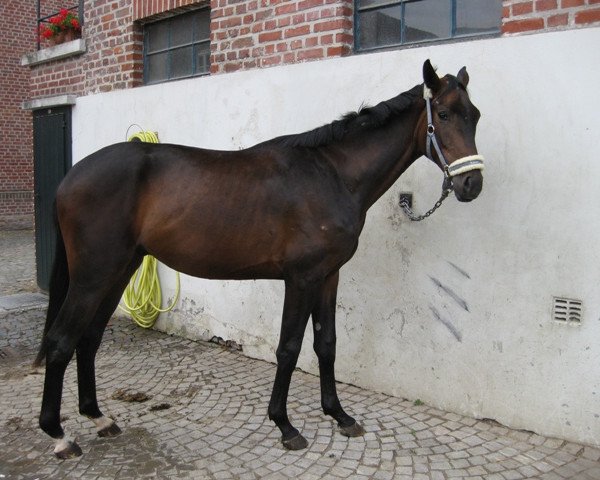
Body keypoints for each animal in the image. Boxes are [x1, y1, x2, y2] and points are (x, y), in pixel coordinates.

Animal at [34, 60, 482, 458]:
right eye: (443, 114)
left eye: (474, 116)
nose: (472, 184)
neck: (330, 174)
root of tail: (71, 177)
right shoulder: (301, 278)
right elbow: (288, 347)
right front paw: (285, 426)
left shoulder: (329, 276)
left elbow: (327, 344)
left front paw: (339, 416)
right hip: (93, 275)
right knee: (60, 341)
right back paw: (59, 436)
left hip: (118, 271)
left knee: (88, 340)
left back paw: (99, 418)